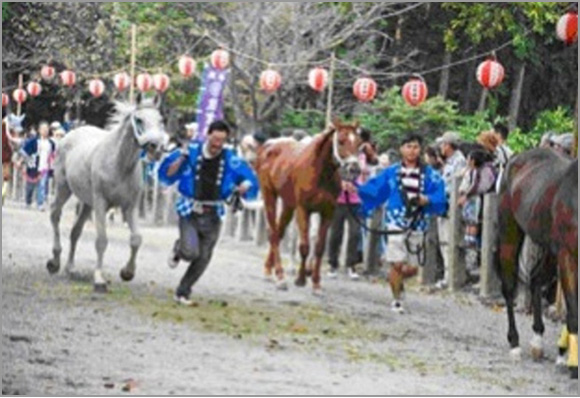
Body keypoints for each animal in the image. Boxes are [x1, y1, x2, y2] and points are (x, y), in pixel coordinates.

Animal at [47, 96, 168, 292]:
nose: (155, 147)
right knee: (55, 215)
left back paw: (70, 268)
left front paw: (127, 272)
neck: (118, 164)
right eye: (139, 119)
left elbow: (136, 239)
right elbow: (101, 241)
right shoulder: (101, 203)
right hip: (63, 188)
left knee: (75, 231)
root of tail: (70, 134)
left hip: (87, 203)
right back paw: (54, 262)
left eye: (161, 121)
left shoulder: (130, 207)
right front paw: (99, 280)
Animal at [255, 120, 360, 292]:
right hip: (269, 194)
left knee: (279, 232)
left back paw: (268, 269)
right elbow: (304, 246)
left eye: (358, 142)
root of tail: (268, 146)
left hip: (288, 205)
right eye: (340, 141)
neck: (321, 173)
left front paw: (316, 283)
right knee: (273, 234)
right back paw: (280, 276)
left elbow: (319, 247)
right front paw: (300, 279)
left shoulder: (327, 212)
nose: (354, 169)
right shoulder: (303, 209)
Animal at [496, 148, 576, 378]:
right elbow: (574, 310)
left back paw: (538, 341)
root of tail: (515, 158)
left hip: (548, 246)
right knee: (509, 286)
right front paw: (573, 365)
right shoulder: (568, 255)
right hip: (509, 231)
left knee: (536, 279)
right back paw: (515, 343)